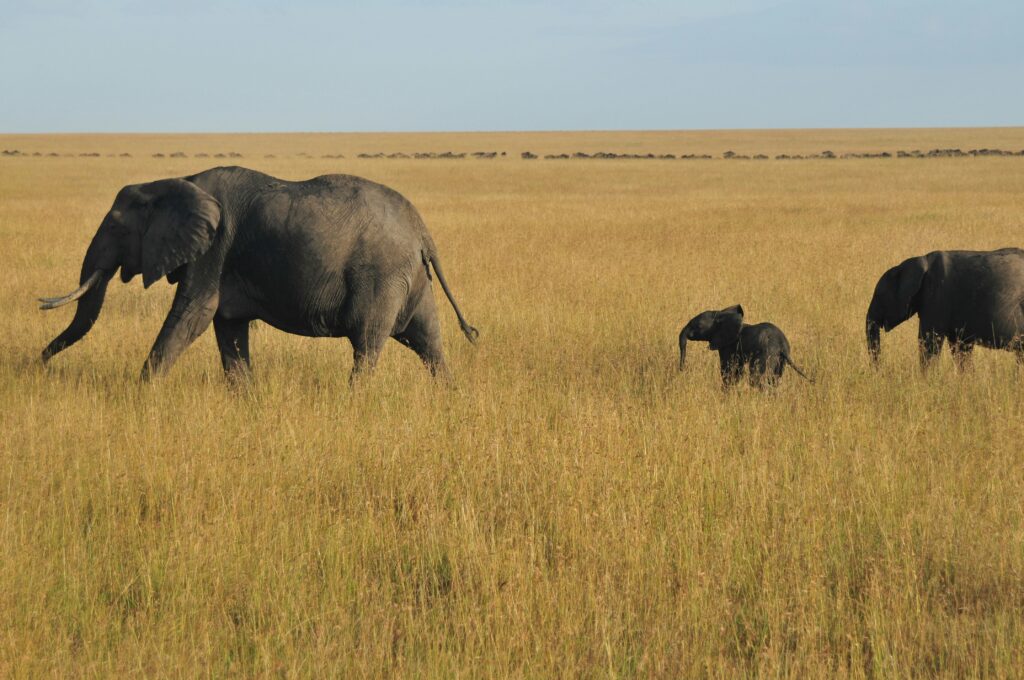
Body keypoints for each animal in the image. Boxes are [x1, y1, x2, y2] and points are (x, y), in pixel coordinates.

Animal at [39, 166, 478, 381]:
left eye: (116, 227)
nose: (39, 363)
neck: (175, 184)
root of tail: (422, 231)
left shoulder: (214, 249)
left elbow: (192, 315)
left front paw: (140, 393)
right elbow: (227, 329)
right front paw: (246, 400)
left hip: (382, 275)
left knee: (368, 345)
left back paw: (356, 400)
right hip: (410, 278)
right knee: (429, 341)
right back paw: (448, 396)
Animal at [678, 305, 811, 387]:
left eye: (699, 326)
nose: (682, 370)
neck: (721, 315)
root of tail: (782, 345)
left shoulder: (728, 345)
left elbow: (729, 371)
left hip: (766, 354)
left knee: (758, 379)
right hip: (780, 360)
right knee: (774, 379)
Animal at [865, 248, 1024, 367]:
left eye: (879, 295)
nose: (880, 371)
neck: (920, 262)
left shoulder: (936, 296)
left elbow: (929, 341)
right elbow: (961, 347)